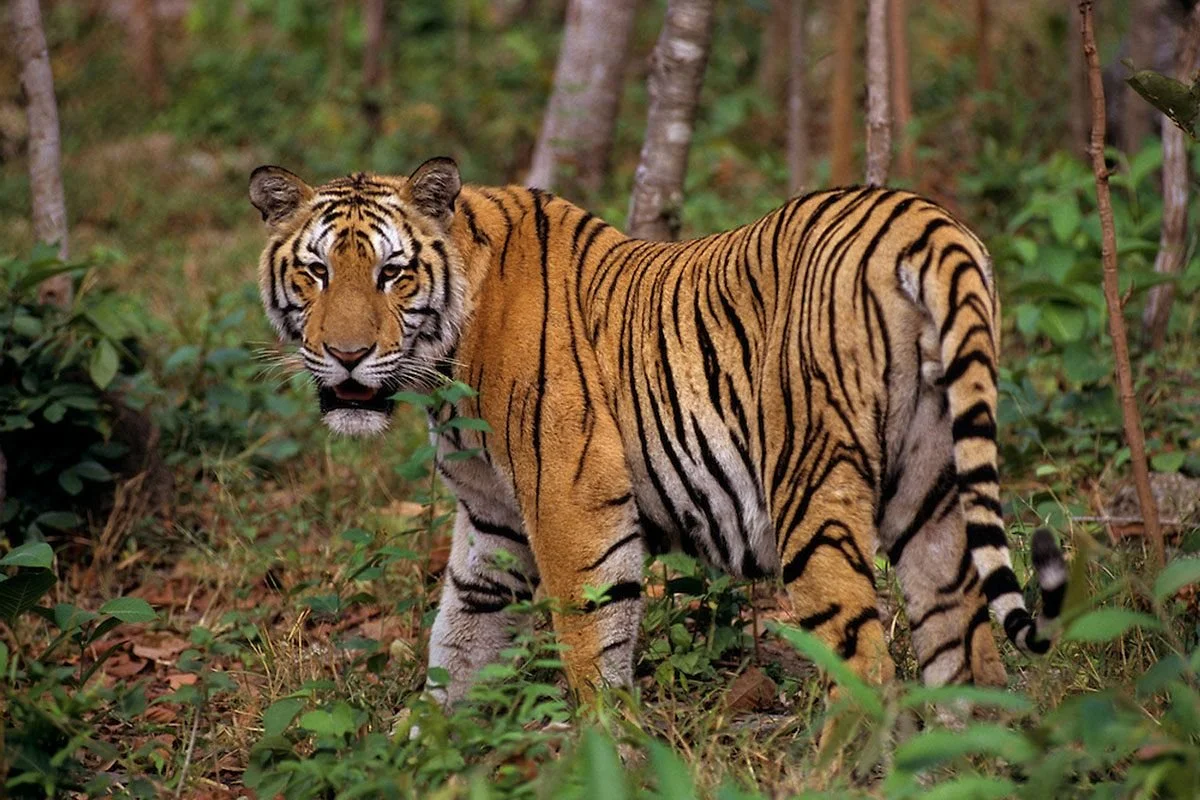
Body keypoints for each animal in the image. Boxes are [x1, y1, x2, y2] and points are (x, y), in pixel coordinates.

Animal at [248, 157, 1068, 705]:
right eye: (317, 272)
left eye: (393, 274)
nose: (348, 354)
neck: (446, 366)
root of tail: (923, 221)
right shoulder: (491, 521)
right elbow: (460, 639)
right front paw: (427, 751)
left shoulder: (572, 503)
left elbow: (590, 644)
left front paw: (608, 752)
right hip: (932, 492)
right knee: (968, 658)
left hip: (812, 490)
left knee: (867, 669)